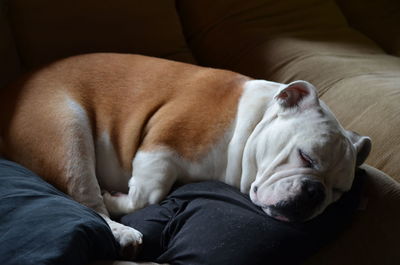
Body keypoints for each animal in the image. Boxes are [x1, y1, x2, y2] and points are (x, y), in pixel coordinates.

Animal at [0, 53, 370, 258]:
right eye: (306, 158)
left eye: (339, 192)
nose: (315, 192)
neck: (251, 123)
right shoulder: (161, 144)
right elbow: (148, 194)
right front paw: (116, 198)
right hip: (68, 130)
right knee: (85, 199)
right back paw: (121, 231)